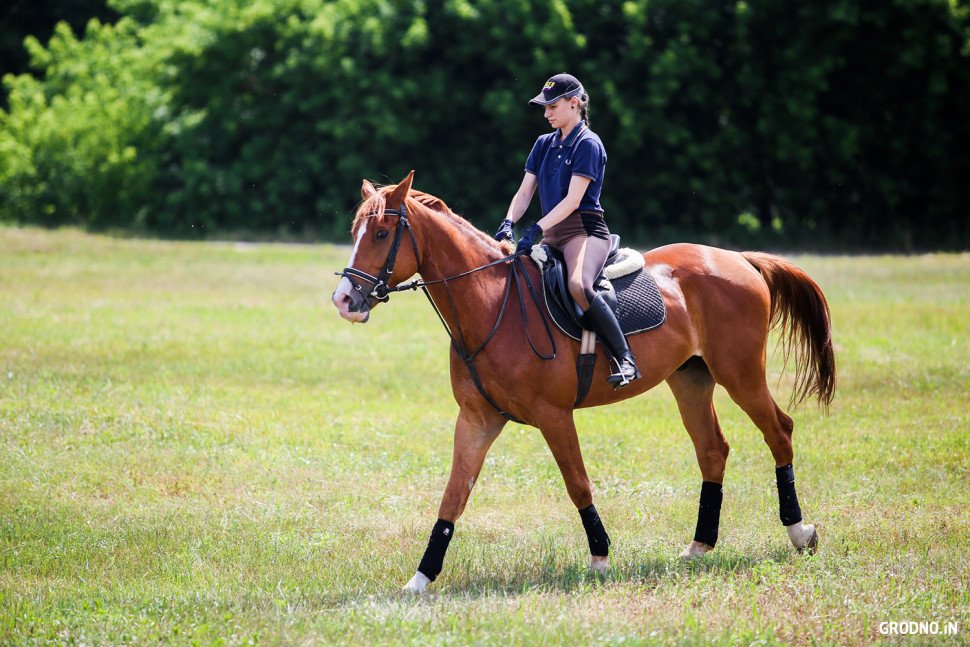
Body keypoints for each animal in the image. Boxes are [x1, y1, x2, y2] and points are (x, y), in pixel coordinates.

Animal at [330, 171, 832, 592]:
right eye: (356, 233)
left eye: (381, 233)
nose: (343, 300)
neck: (492, 305)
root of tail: (739, 260)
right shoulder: (477, 419)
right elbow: (453, 496)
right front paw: (420, 579)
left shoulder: (554, 416)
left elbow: (578, 484)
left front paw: (600, 558)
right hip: (691, 381)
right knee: (712, 451)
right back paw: (699, 546)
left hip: (740, 374)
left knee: (779, 432)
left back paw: (799, 531)